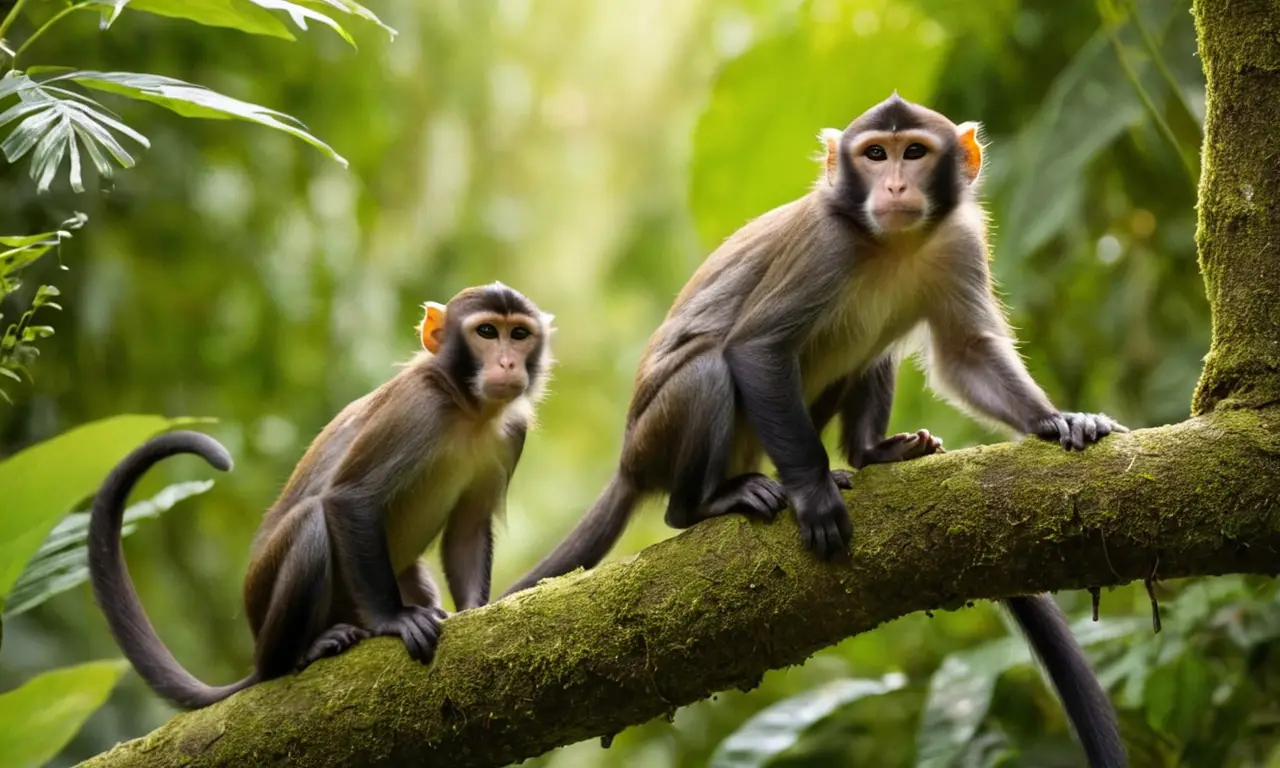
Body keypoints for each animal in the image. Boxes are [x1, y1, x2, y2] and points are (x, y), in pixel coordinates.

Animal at [88, 282, 554, 710]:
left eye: (519, 334)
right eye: (487, 331)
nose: (509, 362)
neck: (467, 409)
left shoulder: (510, 434)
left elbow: (468, 526)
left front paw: (473, 612)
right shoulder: (415, 408)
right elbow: (349, 499)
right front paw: (393, 619)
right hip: (266, 604)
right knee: (311, 523)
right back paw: (296, 654)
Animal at [501, 95, 1127, 766]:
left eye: (914, 152)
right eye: (875, 154)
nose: (896, 185)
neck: (892, 244)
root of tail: (628, 462)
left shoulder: (959, 240)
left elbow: (965, 351)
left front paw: (1054, 419)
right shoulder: (825, 246)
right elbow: (754, 348)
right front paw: (815, 493)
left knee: (875, 346)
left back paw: (874, 451)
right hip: (661, 435)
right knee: (710, 372)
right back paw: (705, 503)